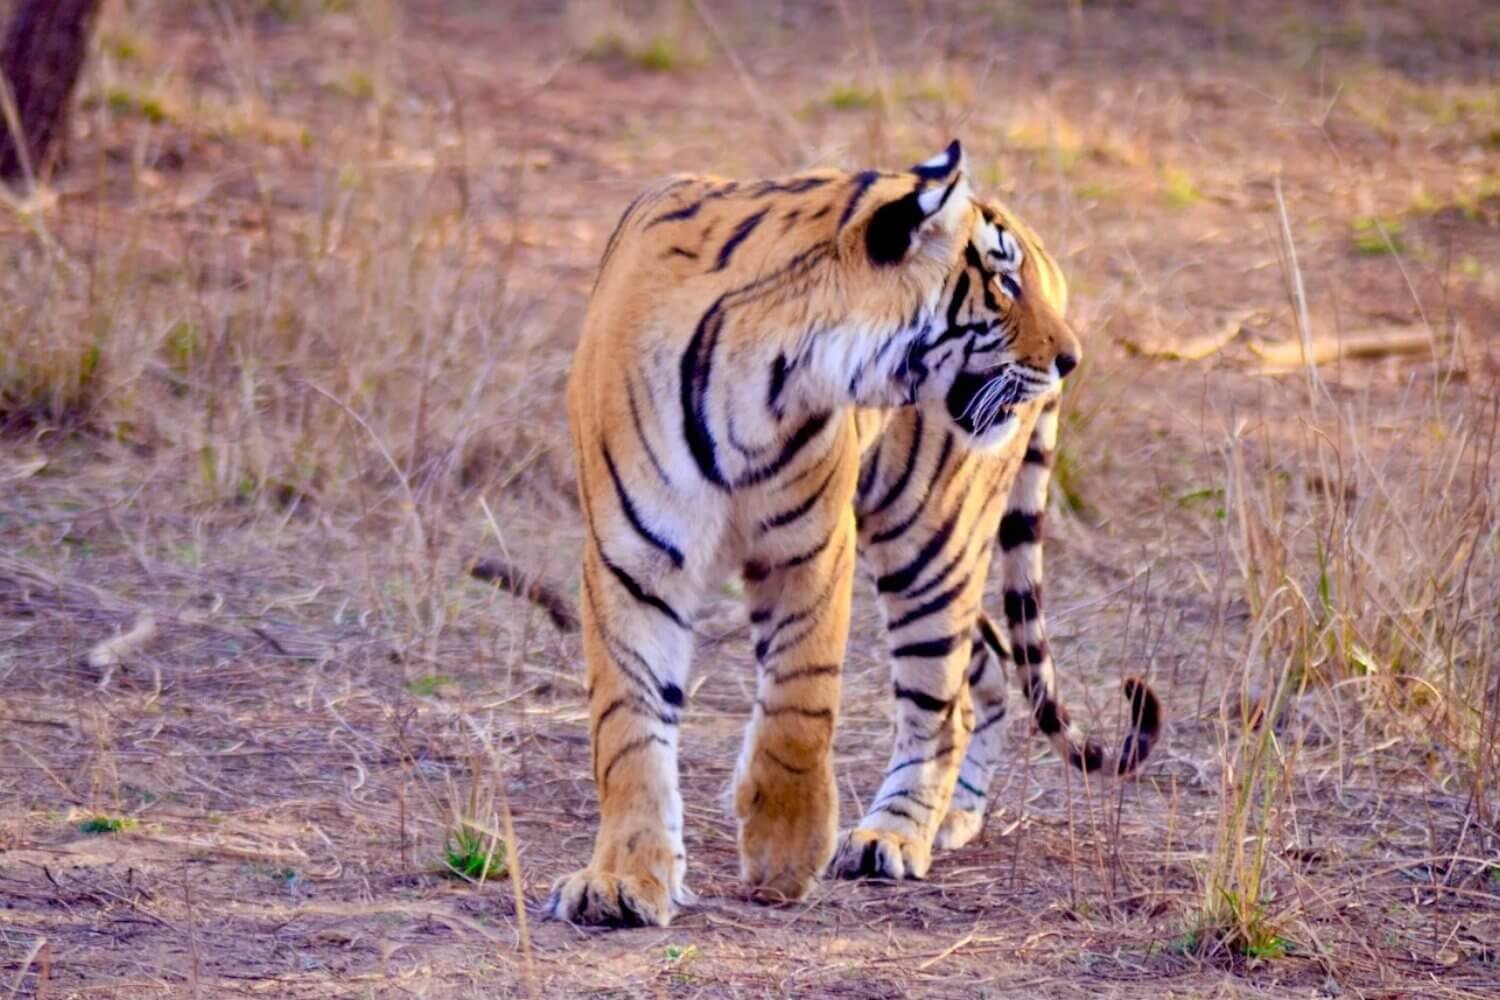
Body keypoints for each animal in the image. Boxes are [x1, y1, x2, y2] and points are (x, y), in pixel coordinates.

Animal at [525, 140, 1160, 928]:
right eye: (1002, 282)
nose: (1071, 359)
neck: (767, 363)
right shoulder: (633, 558)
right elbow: (628, 727)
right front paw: (622, 881)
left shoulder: (811, 545)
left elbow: (799, 705)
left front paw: (785, 852)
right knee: (983, 663)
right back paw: (953, 817)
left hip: (932, 532)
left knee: (943, 700)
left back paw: (893, 835)